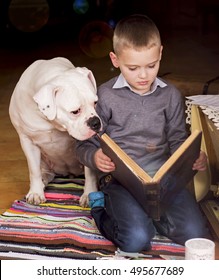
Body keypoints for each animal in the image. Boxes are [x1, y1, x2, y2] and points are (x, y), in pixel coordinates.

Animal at [9, 57, 100, 206]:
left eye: (95, 103)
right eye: (75, 111)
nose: (96, 122)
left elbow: (90, 172)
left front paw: (89, 194)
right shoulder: (27, 141)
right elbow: (34, 170)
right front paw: (35, 192)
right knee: (44, 172)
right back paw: (42, 180)